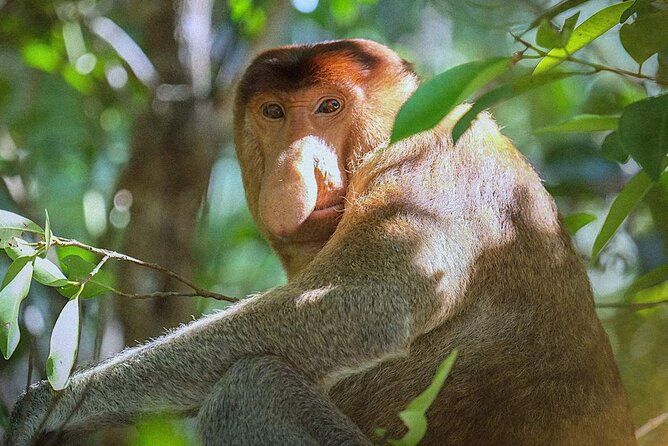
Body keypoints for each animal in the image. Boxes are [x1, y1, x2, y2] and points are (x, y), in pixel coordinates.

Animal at [5, 39, 636, 446]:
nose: (294, 165)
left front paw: (48, 406)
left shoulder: (429, 166)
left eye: (329, 106)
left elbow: (362, 303)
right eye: (274, 112)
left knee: (252, 386)